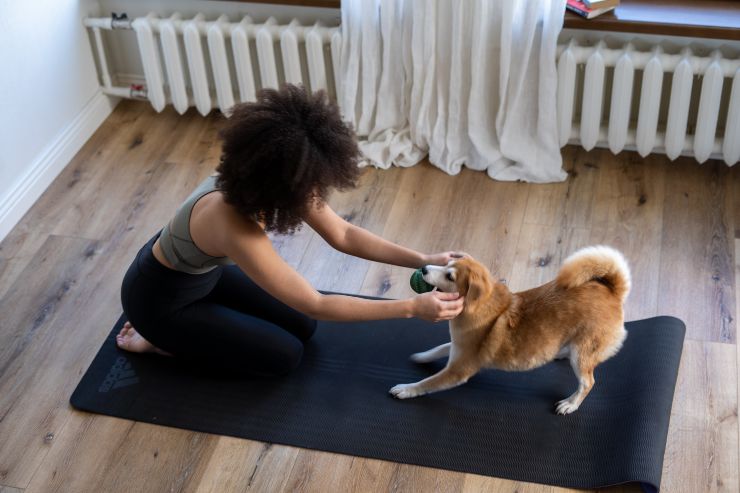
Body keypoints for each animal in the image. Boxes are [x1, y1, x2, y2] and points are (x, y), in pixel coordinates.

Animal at [388, 244, 632, 414]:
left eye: (450, 276)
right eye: (446, 265)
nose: (424, 268)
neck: (480, 307)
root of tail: (613, 292)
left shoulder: (459, 369)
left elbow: (427, 383)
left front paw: (406, 389)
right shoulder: (458, 347)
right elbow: (440, 348)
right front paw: (422, 356)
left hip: (583, 354)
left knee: (587, 383)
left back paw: (570, 404)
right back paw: (560, 353)